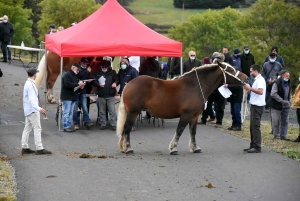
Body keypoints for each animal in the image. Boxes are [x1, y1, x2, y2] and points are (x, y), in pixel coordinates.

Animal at [116, 62, 247, 155]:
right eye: (230, 70)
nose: (245, 78)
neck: (194, 86)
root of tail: (128, 84)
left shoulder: (194, 116)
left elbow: (193, 132)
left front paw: (195, 148)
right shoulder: (186, 115)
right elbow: (179, 130)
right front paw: (173, 148)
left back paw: (124, 148)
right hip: (133, 112)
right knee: (127, 129)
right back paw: (128, 149)